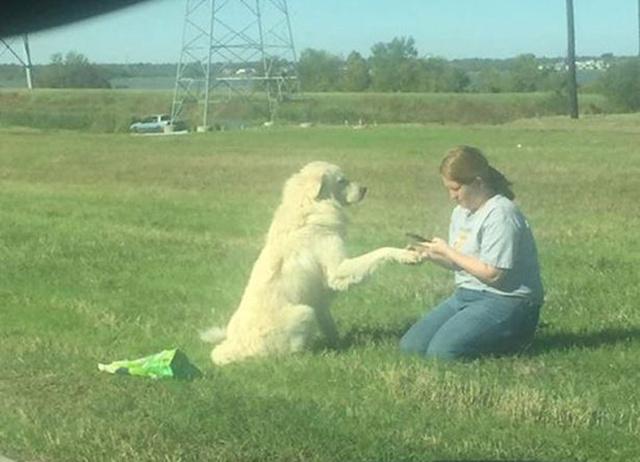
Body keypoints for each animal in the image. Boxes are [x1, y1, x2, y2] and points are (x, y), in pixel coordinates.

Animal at [200, 162, 420, 364]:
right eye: (342, 181)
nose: (365, 189)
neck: (310, 208)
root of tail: (234, 348)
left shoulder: (319, 300)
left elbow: (329, 324)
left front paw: (339, 344)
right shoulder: (338, 270)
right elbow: (380, 252)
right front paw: (406, 255)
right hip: (304, 312)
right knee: (290, 353)